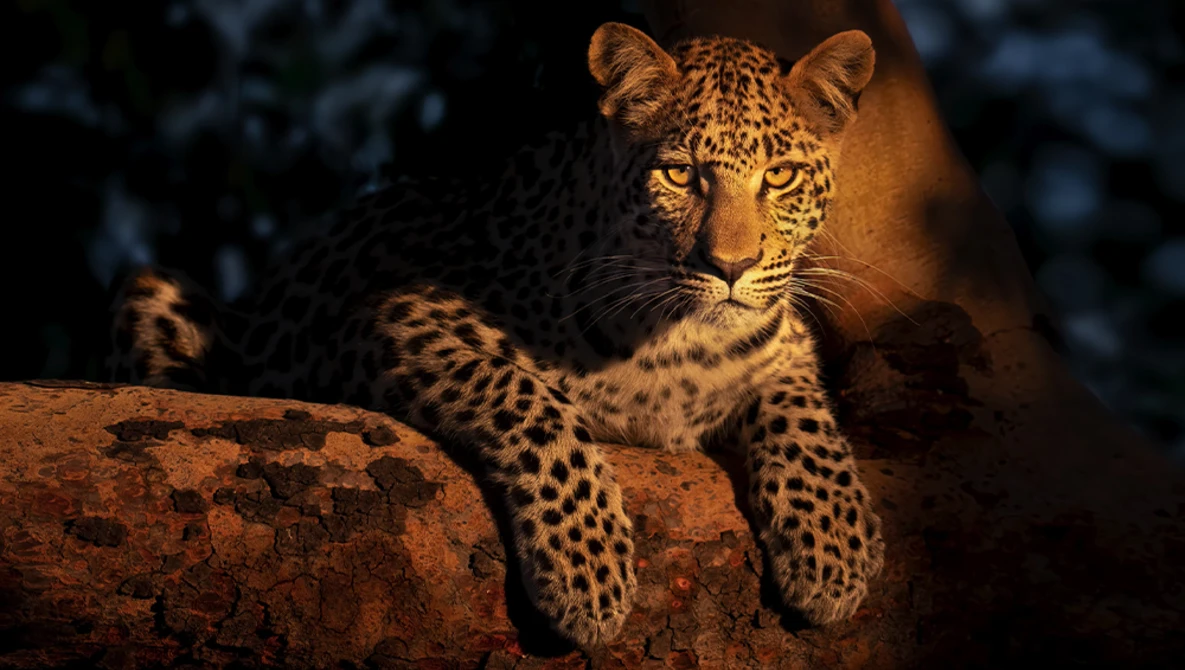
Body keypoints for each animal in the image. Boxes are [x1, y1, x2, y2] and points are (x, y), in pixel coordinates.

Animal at [106, 22, 884, 648]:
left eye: (779, 176)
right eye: (677, 173)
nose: (729, 267)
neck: (680, 339)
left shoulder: (782, 343)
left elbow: (802, 411)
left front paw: (834, 550)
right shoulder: (399, 316)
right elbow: (529, 398)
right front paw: (588, 569)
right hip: (152, 292)